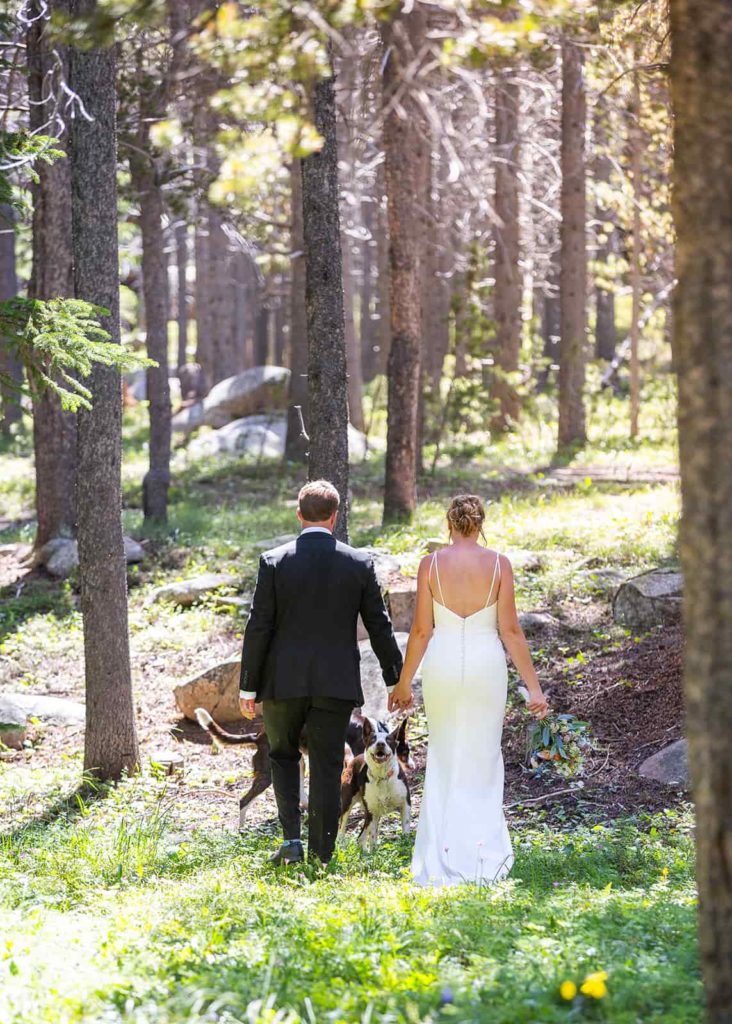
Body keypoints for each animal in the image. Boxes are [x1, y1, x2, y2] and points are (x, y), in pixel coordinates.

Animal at [337, 716, 411, 851]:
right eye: (373, 739)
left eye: (388, 740)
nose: (380, 744)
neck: (383, 777)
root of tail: (353, 761)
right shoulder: (373, 811)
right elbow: (372, 837)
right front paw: (374, 853)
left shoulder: (405, 805)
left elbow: (406, 828)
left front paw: (406, 845)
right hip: (348, 804)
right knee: (343, 827)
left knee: (360, 838)